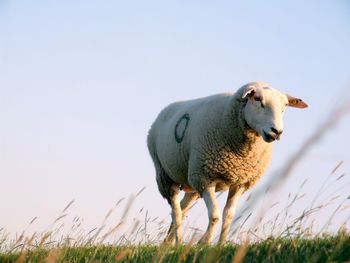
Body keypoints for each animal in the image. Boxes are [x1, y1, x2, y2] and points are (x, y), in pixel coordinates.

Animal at [146, 82, 308, 245]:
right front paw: (205, 243)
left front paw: (220, 244)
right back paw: (178, 242)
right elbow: (215, 215)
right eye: (257, 99)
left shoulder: (240, 183)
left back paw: (167, 243)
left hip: (192, 182)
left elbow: (229, 215)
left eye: (285, 105)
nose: (277, 132)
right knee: (176, 211)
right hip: (165, 175)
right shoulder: (205, 178)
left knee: (183, 208)